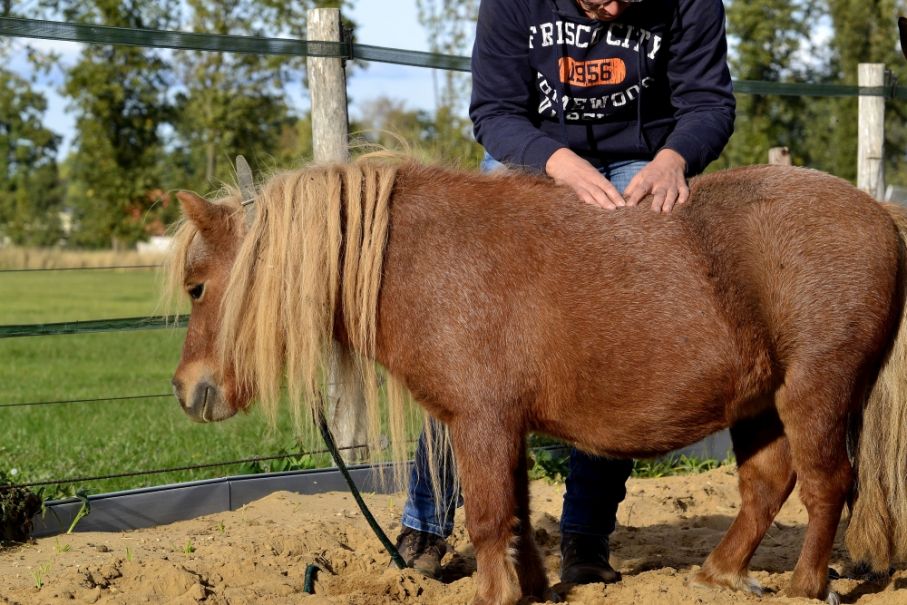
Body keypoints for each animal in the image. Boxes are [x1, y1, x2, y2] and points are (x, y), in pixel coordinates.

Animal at [167, 160, 907, 604]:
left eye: (198, 285)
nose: (186, 389)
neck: (425, 261)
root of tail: (878, 212)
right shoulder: (505, 427)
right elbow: (517, 513)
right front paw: (529, 587)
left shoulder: (479, 421)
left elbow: (490, 516)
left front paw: (494, 593)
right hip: (759, 402)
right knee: (766, 483)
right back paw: (721, 571)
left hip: (815, 390)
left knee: (826, 484)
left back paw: (804, 584)